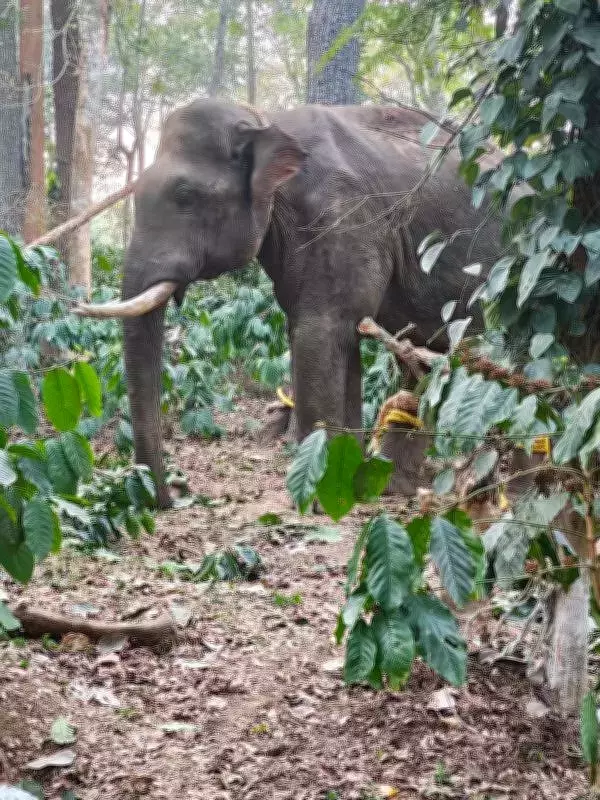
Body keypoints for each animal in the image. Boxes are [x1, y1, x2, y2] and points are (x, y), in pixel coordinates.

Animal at [76, 99, 506, 508]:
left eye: (185, 196)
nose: (173, 496)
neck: (266, 120)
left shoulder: (341, 218)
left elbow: (320, 332)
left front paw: (322, 499)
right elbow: (333, 337)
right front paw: (348, 488)